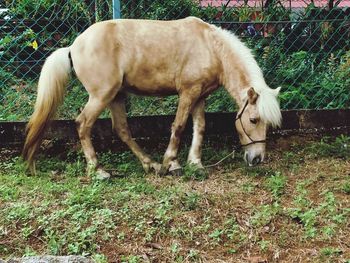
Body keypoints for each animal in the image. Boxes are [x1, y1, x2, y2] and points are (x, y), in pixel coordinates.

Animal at [22, 16, 282, 179]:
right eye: (253, 120)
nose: (257, 159)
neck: (210, 47)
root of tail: (73, 47)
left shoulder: (200, 96)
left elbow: (199, 127)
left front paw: (194, 163)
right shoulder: (187, 93)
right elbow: (179, 126)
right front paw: (171, 163)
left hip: (116, 96)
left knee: (122, 129)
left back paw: (150, 164)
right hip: (101, 96)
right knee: (83, 124)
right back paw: (98, 170)